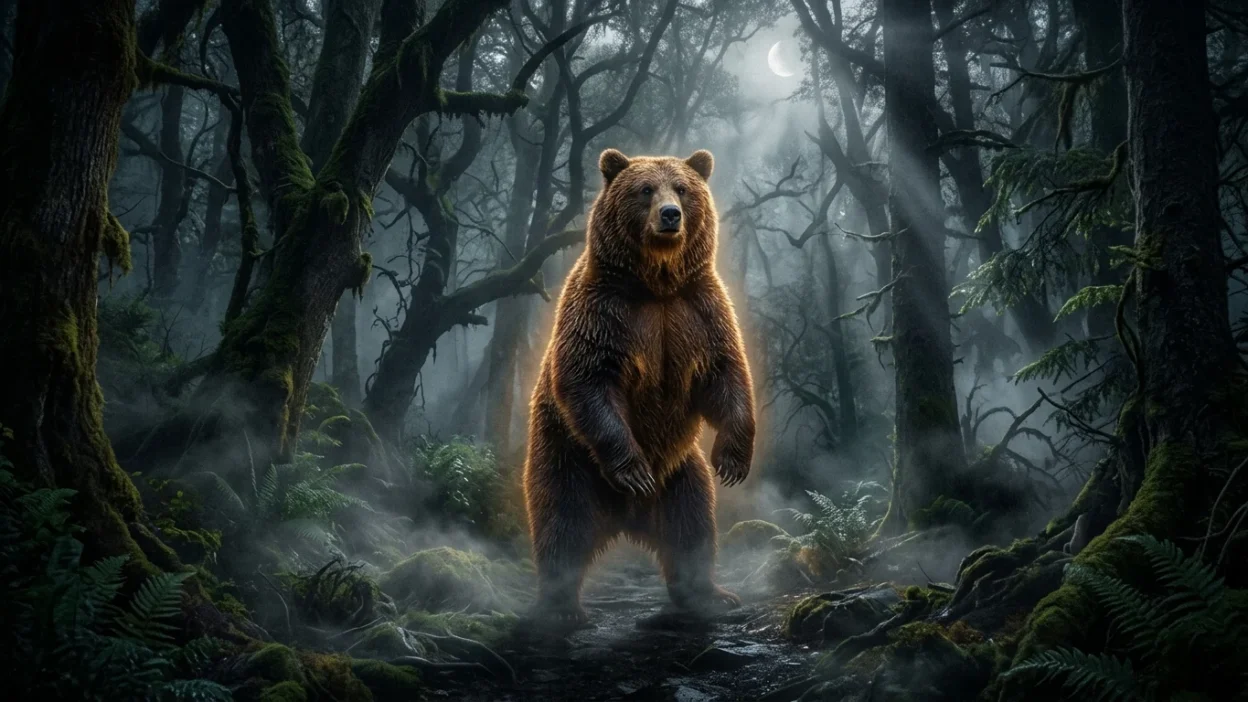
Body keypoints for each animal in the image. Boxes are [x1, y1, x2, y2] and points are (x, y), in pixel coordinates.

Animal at [522, 147, 756, 627]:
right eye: (645, 189)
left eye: (682, 188)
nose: (670, 215)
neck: (657, 285)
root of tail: (627, 520)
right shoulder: (603, 313)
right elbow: (587, 380)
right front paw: (633, 470)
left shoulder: (699, 311)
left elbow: (726, 375)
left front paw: (733, 460)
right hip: (568, 461)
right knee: (562, 525)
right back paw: (559, 607)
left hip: (682, 473)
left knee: (693, 526)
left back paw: (710, 594)